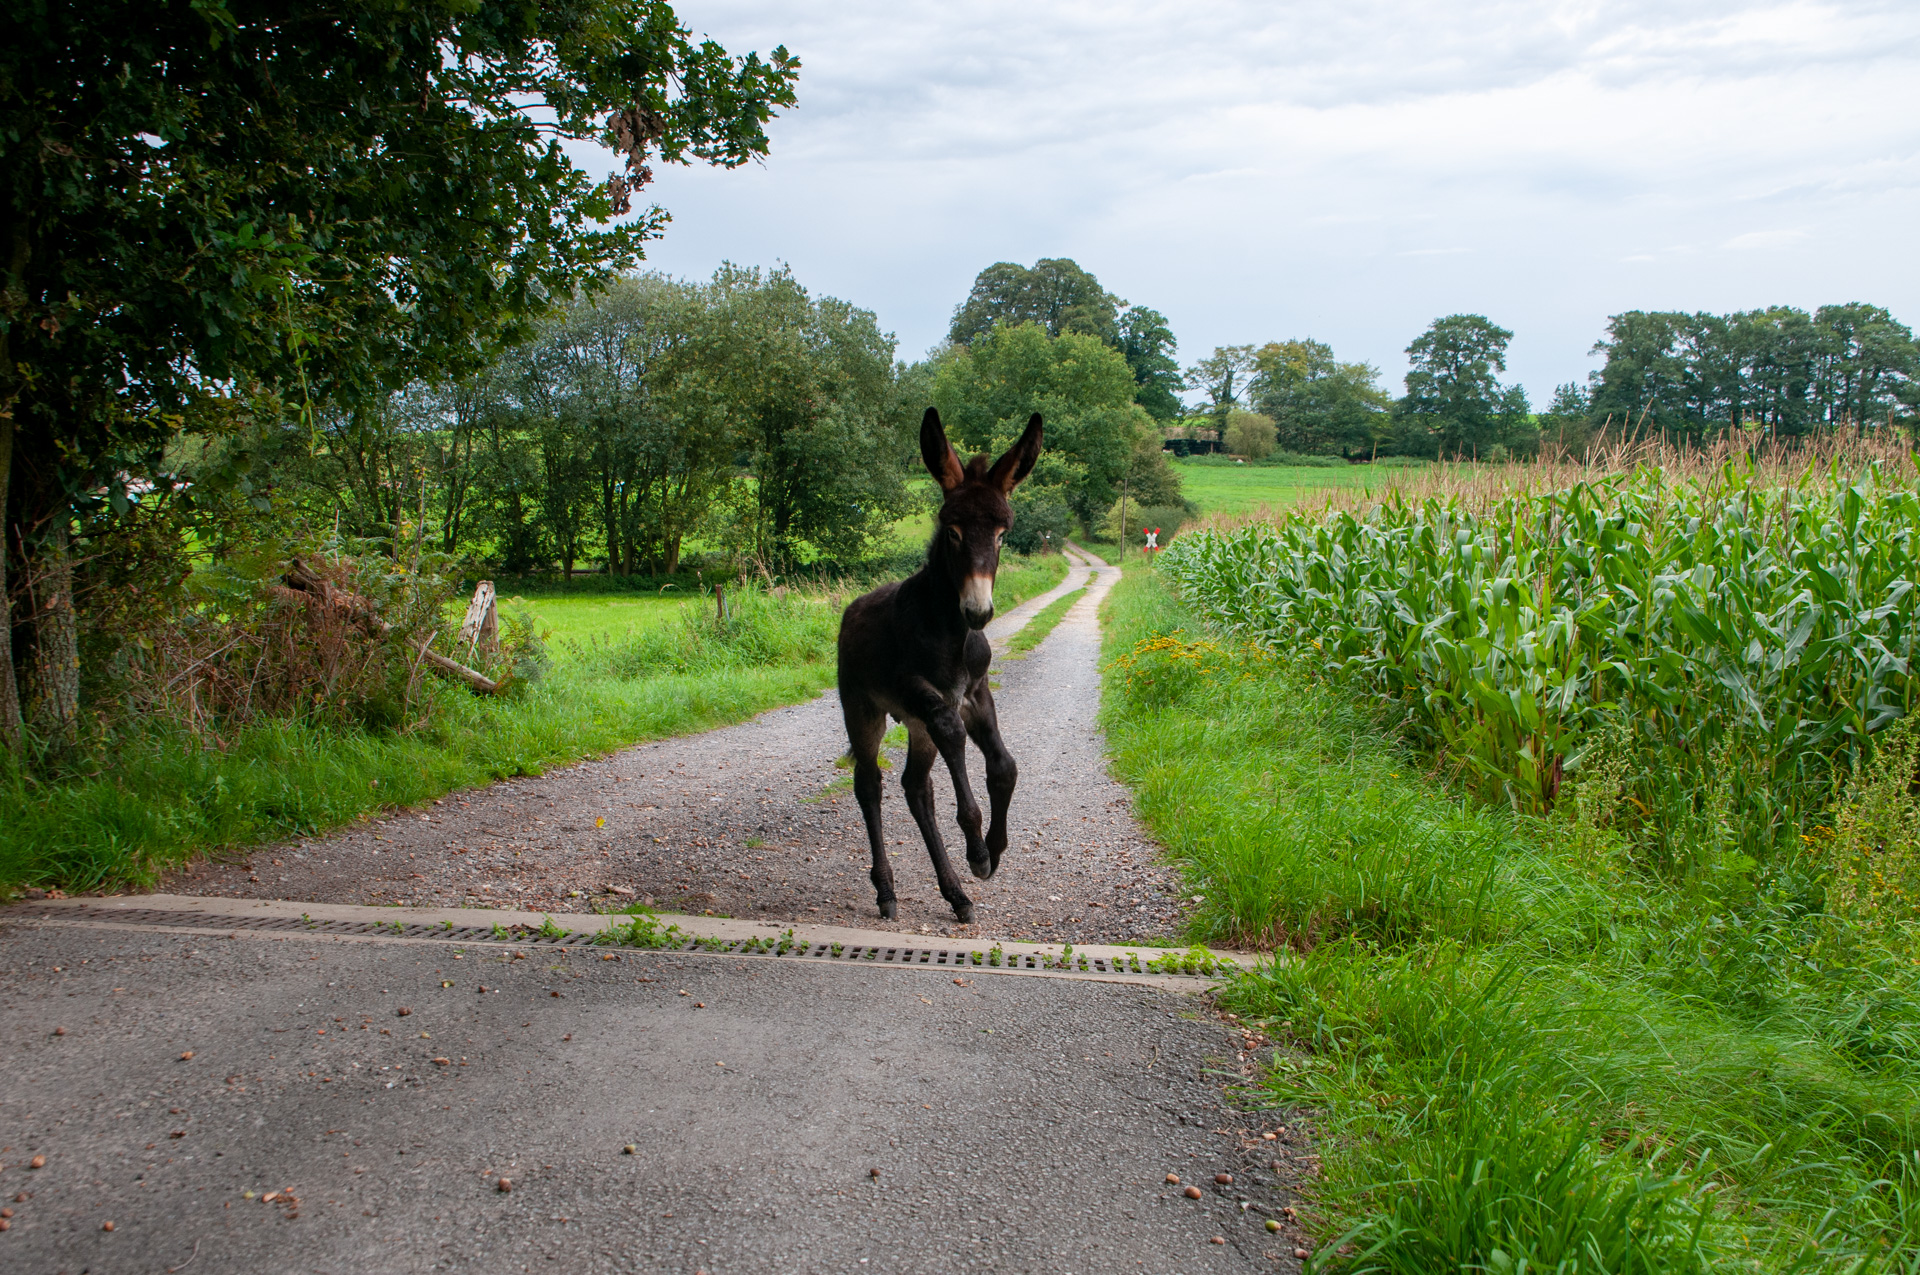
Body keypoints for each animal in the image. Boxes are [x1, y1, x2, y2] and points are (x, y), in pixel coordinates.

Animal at [840, 412, 1052, 921]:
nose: (978, 611)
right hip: (865, 711)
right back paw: (887, 891)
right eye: (953, 531)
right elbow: (956, 742)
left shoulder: (974, 693)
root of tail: (851, 608)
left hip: (916, 727)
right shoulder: (926, 695)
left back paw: (955, 894)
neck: (951, 633)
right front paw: (977, 850)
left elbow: (1005, 766)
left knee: (917, 789)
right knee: (870, 785)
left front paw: (995, 848)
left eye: (1001, 534)